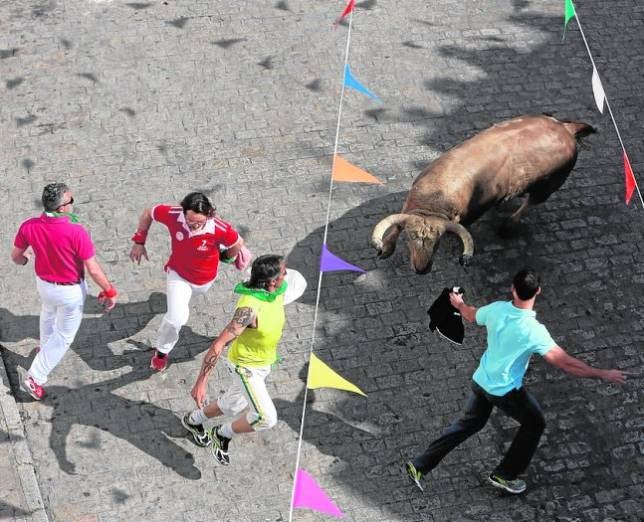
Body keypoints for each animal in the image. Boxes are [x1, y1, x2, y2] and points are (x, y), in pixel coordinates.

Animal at [372, 114, 592, 274]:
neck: (435, 198)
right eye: (410, 238)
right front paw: (385, 249)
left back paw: (507, 226)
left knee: (531, 202)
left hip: (550, 185)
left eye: (438, 241)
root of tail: (566, 128)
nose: (422, 269)